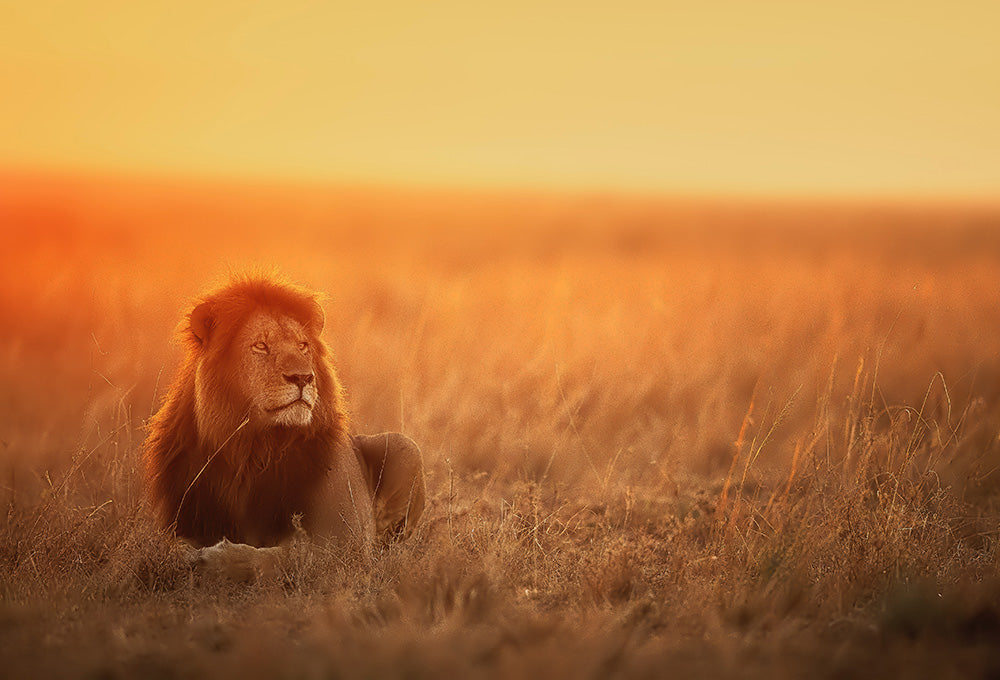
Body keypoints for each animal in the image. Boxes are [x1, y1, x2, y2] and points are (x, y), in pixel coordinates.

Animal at [144, 274, 425, 578]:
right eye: (260, 346)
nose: (303, 377)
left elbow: (287, 556)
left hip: (405, 446)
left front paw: (215, 559)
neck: (253, 447)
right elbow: (168, 546)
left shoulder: (346, 542)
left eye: (302, 345)